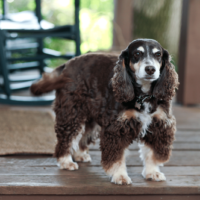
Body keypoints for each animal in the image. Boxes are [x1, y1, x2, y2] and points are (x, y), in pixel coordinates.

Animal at [30, 38, 178, 184]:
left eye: (158, 54)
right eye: (137, 54)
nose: (150, 69)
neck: (143, 95)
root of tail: (68, 64)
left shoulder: (158, 125)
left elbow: (152, 154)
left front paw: (152, 172)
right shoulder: (116, 128)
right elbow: (117, 157)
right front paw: (120, 176)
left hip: (91, 117)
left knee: (83, 135)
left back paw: (79, 155)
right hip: (71, 113)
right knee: (67, 137)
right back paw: (65, 161)